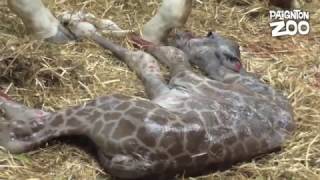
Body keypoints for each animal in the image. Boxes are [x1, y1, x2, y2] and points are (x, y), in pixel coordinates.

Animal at [0, 33, 296, 179]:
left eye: (210, 36)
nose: (182, 35)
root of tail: (142, 161)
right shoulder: (172, 86)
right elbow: (146, 60)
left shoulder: (184, 79)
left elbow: (158, 56)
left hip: (107, 102)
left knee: (25, 132)